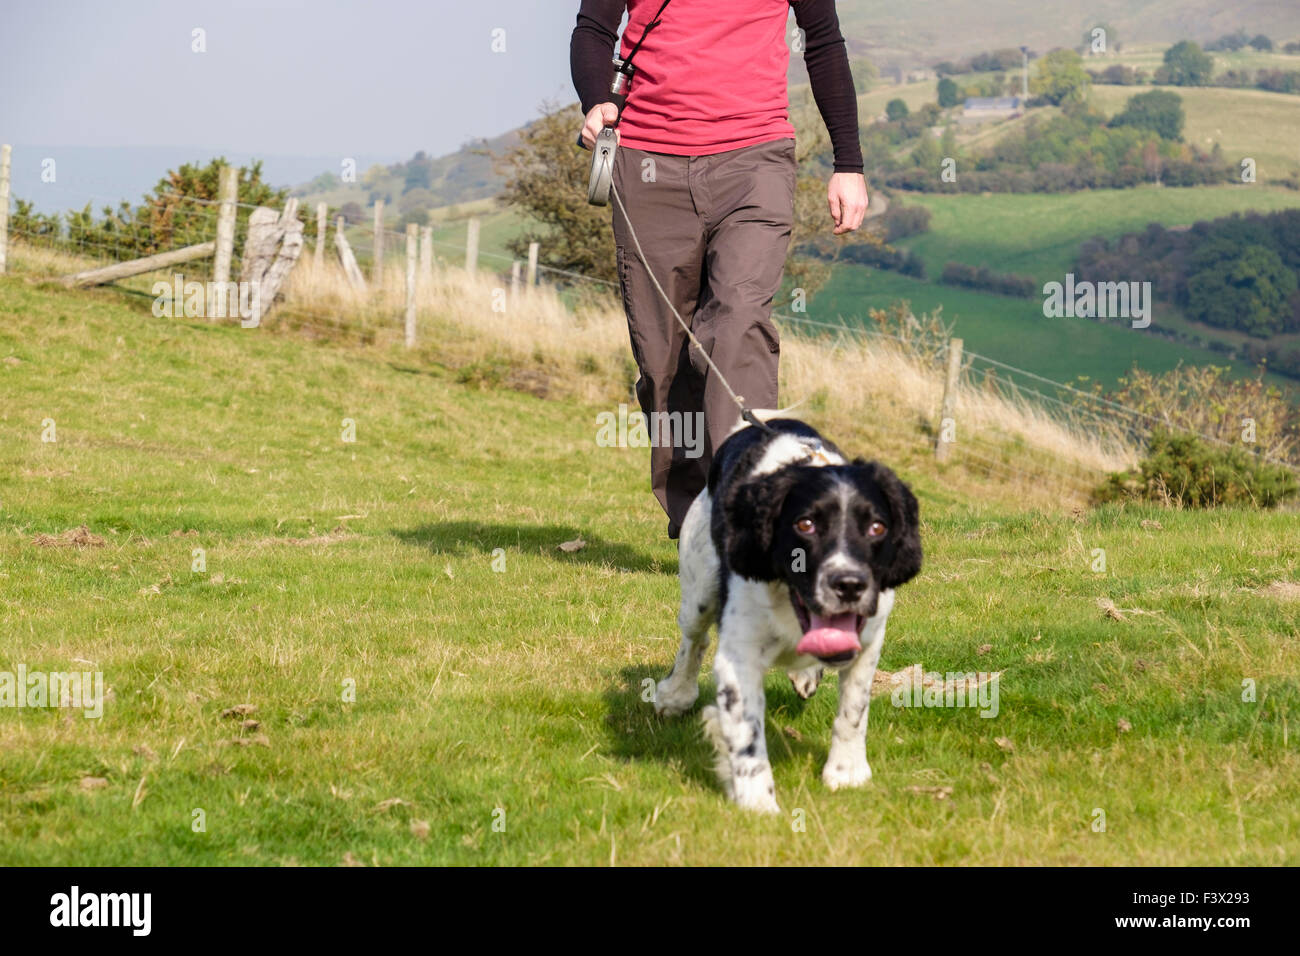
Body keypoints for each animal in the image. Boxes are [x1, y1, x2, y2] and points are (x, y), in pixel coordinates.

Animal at [655, 418, 920, 816]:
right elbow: (747, 731)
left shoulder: (869, 639)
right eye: (805, 524)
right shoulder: (739, 655)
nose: (849, 584)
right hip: (698, 588)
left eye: (877, 528)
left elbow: (854, 708)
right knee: (694, 639)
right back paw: (675, 694)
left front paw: (846, 773)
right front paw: (758, 805)